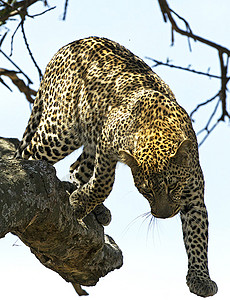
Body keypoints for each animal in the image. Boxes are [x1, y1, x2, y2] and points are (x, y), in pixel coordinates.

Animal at [14, 36, 217, 296]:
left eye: (172, 186)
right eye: (146, 190)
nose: (164, 215)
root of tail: (68, 45)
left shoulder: (193, 193)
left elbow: (197, 233)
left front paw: (200, 278)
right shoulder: (107, 139)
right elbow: (104, 182)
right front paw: (79, 203)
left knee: (77, 167)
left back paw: (95, 207)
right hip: (60, 130)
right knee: (29, 153)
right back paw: (30, 175)